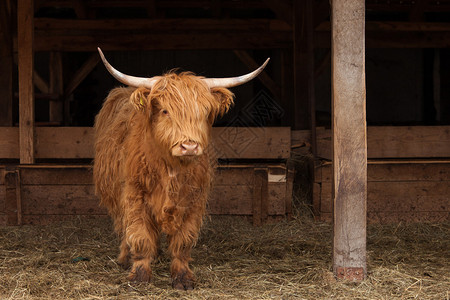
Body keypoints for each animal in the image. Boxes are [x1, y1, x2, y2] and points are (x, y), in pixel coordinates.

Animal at [92, 48, 268, 290]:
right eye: (165, 111)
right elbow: (139, 235)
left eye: (204, 112)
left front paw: (183, 278)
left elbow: (183, 241)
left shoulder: (194, 200)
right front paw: (139, 276)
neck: (171, 171)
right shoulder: (134, 196)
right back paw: (125, 258)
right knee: (123, 226)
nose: (189, 146)